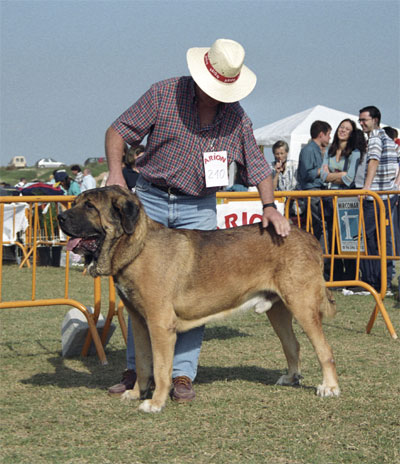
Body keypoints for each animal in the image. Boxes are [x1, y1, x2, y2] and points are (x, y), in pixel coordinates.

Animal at [58, 185, 340, 414]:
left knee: (324, 349)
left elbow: (161, 368)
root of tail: (310, 238)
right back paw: (291, 378)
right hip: (278, 310)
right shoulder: (138, 322)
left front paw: (155, 402)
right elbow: (142, 362)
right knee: (292, 345)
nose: (60, 217)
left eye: (90, 206)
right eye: (77, 202)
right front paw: (136, 392)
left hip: (302, 305)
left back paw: (329, 387)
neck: (137, 248)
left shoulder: (160, 325)